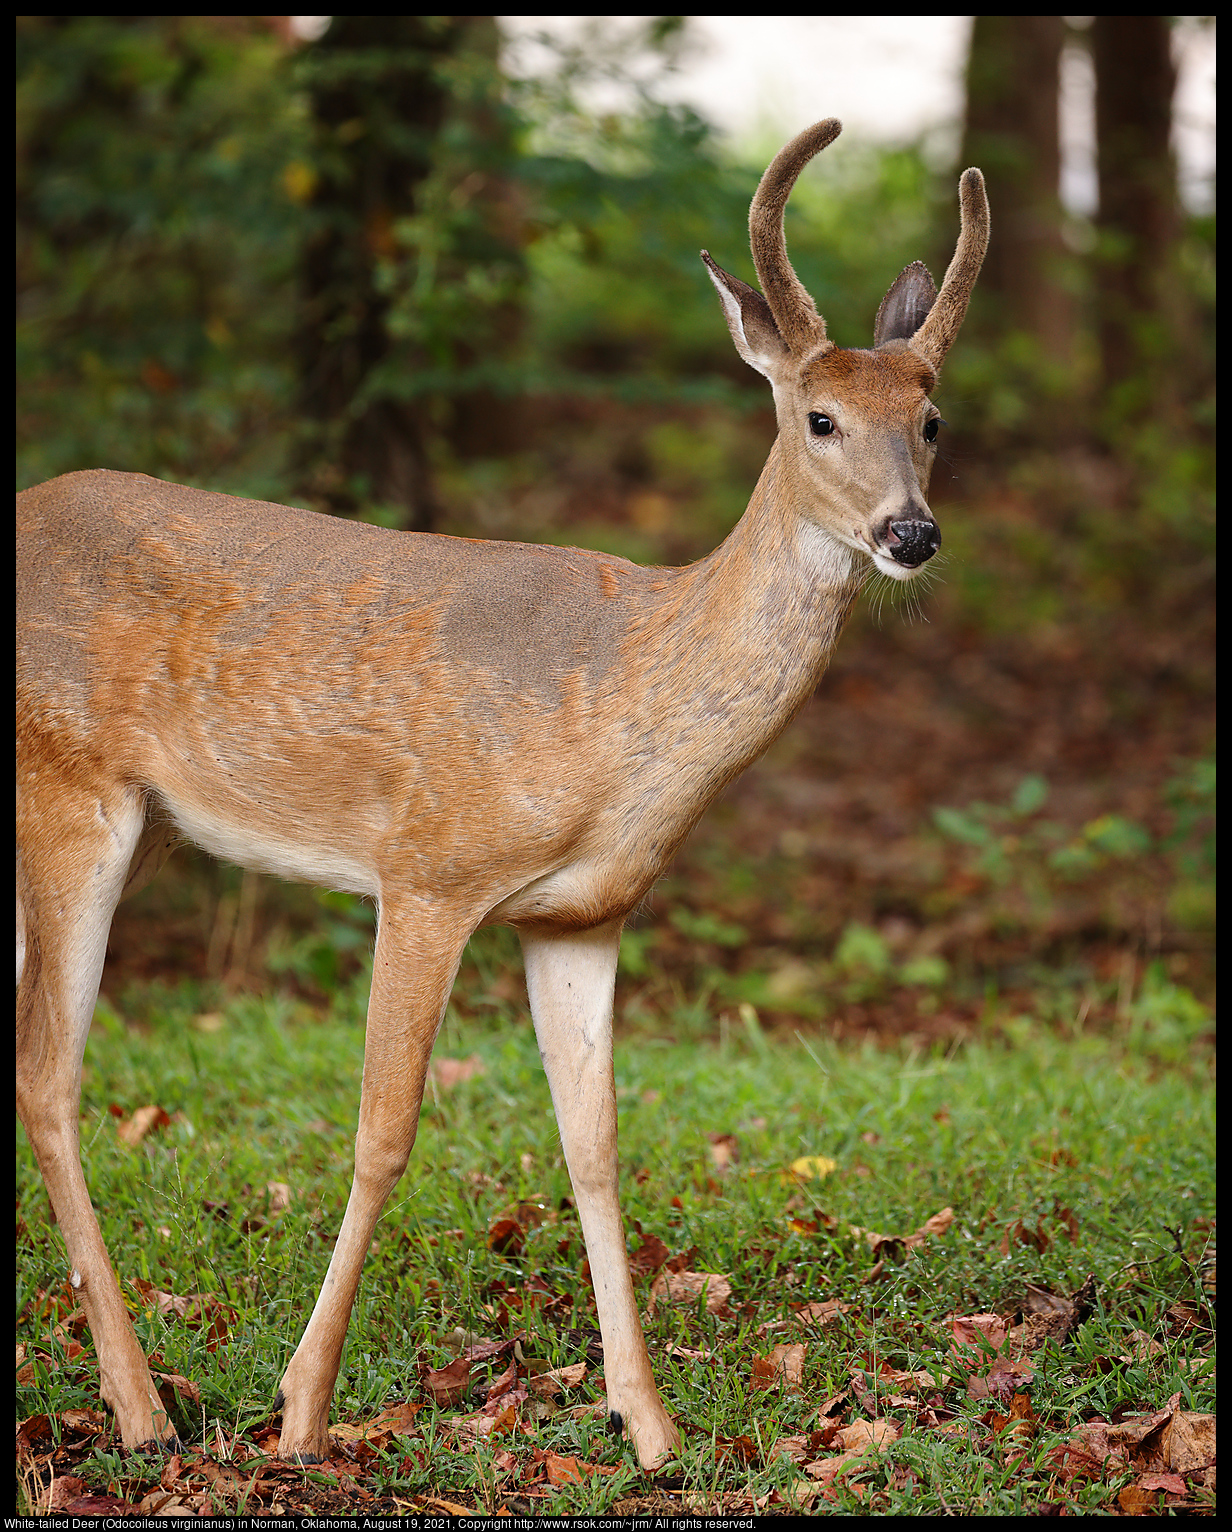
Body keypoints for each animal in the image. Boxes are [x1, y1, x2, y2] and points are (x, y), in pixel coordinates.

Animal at [14, 122, 986, 1470]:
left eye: (933, 417)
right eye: (820, 416)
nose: (910, 533)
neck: (617, 708)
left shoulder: (578, 915)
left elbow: (596, 1146)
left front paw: (648, 1423)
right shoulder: (429, 864)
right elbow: (382, 1132)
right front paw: (301, 1411)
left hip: (133, 824)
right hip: (70, 786)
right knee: (49, 1076)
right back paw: (143, 1406)